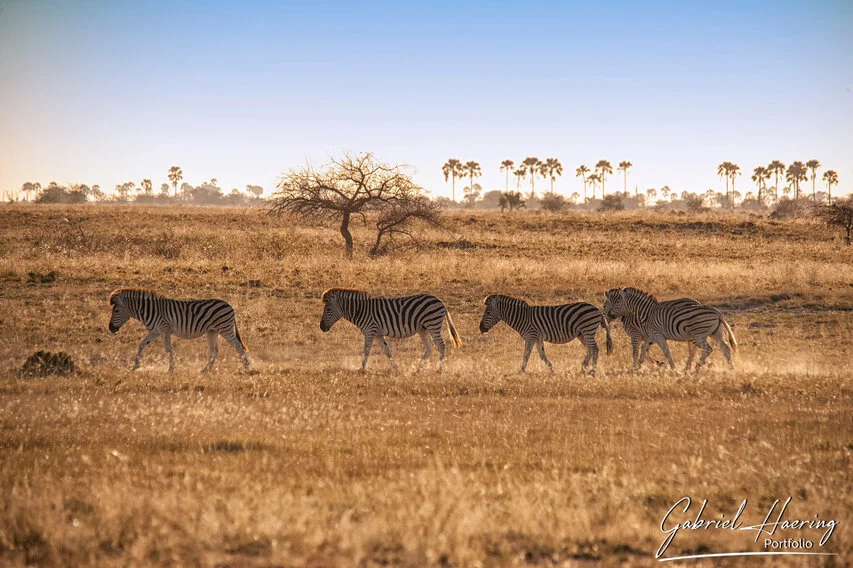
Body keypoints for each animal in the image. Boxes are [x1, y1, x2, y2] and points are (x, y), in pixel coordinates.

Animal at [108, 288, 249, 372]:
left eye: (116, 311)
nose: (110, 328)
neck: (150, 310)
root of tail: (230, 306)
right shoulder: (155, 331)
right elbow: (142, 344)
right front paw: (136, 366)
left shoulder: (165, 329)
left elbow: (168, 349)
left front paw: (171, 368)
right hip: (212, 331)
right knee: (214, 349)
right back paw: (206, 370)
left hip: (225, 328)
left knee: (237, 345)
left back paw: (247, 367)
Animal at [319, 288, 462, 371]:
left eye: (328, 309)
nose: (321, 327)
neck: (361, 311)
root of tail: (440, 301)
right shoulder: (378, 334)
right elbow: (387, 351)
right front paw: (396, 369)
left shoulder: (370, 331)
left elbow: (366, 351)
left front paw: (361, 370)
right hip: (423, 329)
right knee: (429, 347)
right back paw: (417, 370)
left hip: (433, 324)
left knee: (441, 345)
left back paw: (439, 370)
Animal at [478, 294, 612, 373]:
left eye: (488, 312)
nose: (481, 328)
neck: (522, 317)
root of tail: (598, 310)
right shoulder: (538, 337)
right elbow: (542, 354)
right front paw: (552, 369)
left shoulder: (530, 336)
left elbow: (526, 354)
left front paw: (522, 370)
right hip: (582, 334)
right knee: (590, 349)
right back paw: (583, 367)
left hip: (588, 330)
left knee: (594, 348)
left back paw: (592, 370)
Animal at [603, 287, 738, 372]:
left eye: (617, 303)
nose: (607, 317)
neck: (648, 314)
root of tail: (717, 312)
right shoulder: (652, 336)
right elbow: (644, 348)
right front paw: (641, 364)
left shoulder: (651, 335)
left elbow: (665, 351)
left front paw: (672, 368)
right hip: (715, 333)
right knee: (725, 348)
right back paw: (730, 368)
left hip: (698, 335)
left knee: (707, 349)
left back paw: (696, 366)